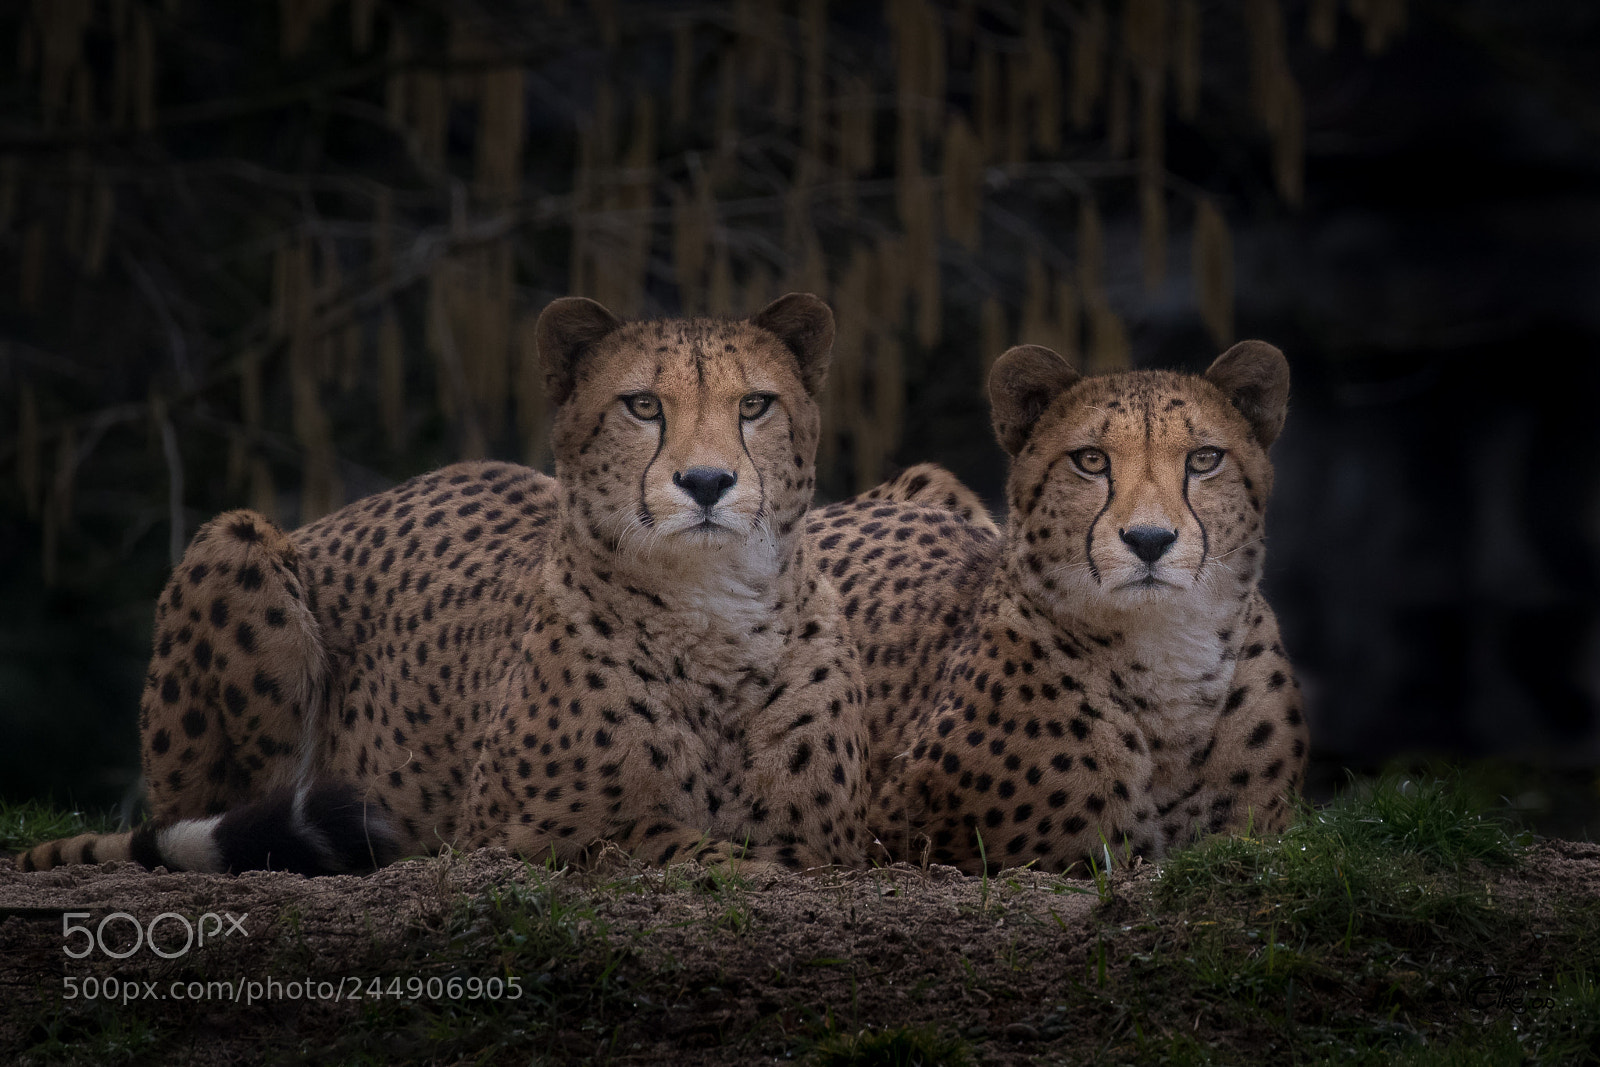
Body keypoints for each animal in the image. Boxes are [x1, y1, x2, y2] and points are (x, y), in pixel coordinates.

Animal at [19, 293, 873, 876]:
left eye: (754, 404)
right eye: (642, 405)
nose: (706, 482)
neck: (712, 612)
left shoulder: (825, 837)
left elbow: (767, 847)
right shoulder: (514, 832)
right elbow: (662, 838)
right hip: (234, 539)